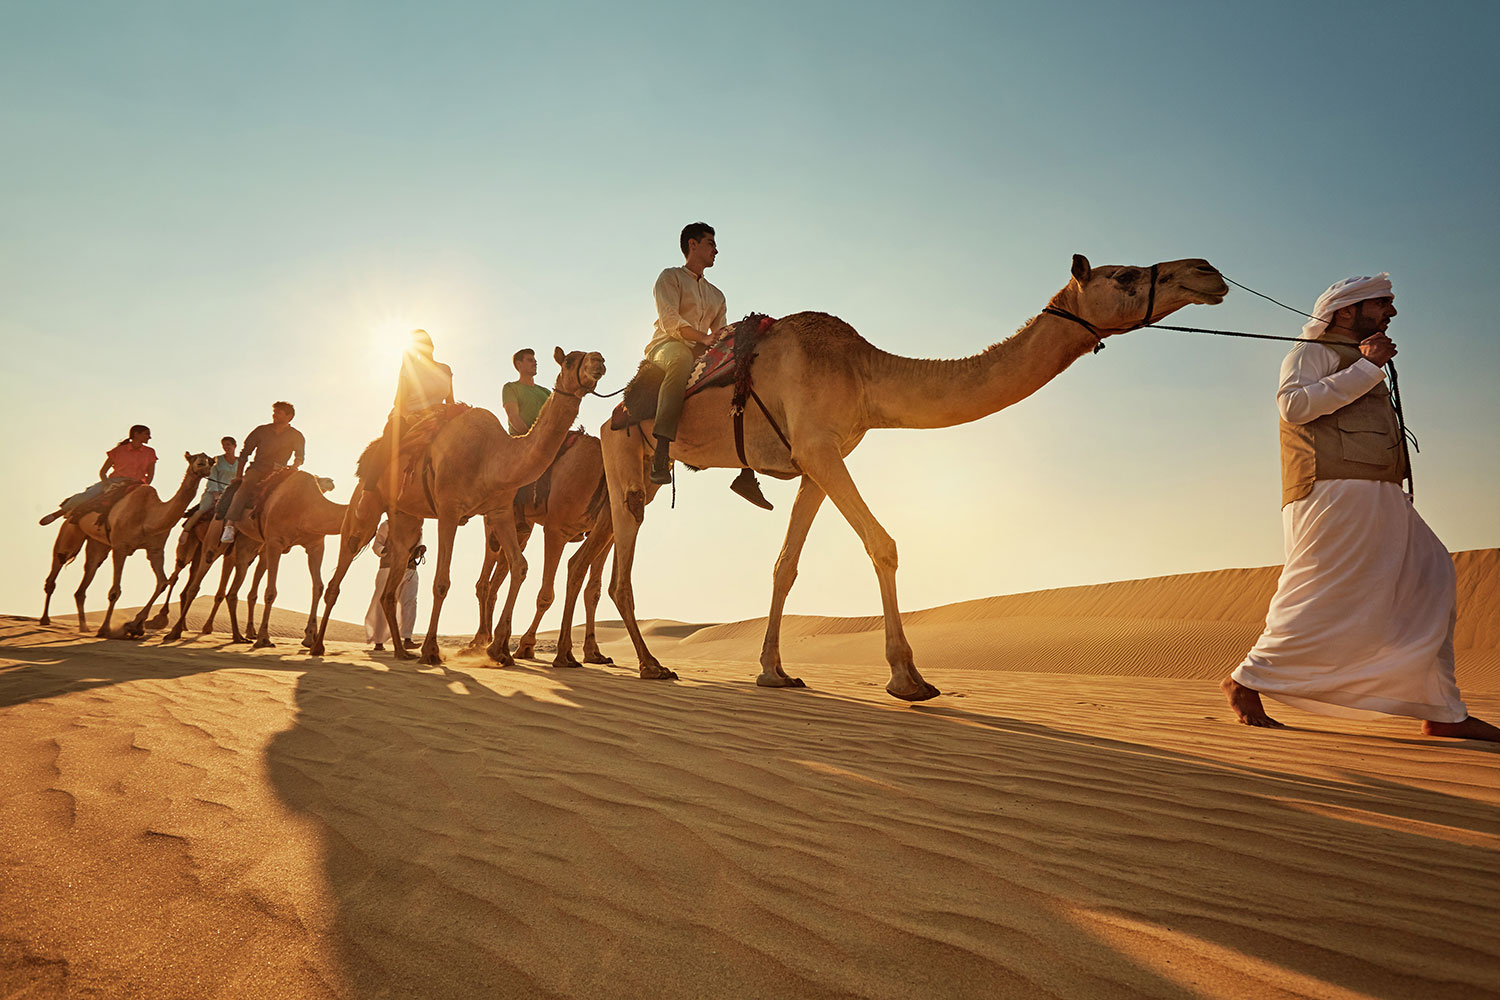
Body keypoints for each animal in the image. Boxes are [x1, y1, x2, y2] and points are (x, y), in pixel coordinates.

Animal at [39, 452, 214, 637]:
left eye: (210, 461)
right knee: (58, 562)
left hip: (98, 543)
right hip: (72, 528)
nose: (207, 470)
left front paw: (135, 626)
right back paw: (45, 619)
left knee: (87, 575)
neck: (148, 516)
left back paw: (83, 627)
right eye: (199, 461)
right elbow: (115, 591)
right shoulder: (120, 548)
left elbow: (162, 583)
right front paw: (105, 629)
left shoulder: (155, 550)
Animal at [469, 431, 615, 666]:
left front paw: (593, 653)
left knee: (499, 573)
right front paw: (526, 646)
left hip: (522, 528)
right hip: (498, 520)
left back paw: (489, 639)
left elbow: (593, 590)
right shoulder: (557, 529)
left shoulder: (605, 532)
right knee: (486, 577)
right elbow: (546, 594)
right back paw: (481, 639)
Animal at [601, 255, 1228, 700]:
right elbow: (884, 544)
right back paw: (650, 665)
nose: (1207, 271)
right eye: (1123, 275)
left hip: (642, 475)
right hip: (621, 454)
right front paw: (909, 678)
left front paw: (774, 672)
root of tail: (614, 408)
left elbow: (786, 567)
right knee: (621, 561)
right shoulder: (820, 449)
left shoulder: (816, 461)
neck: (861, 372)